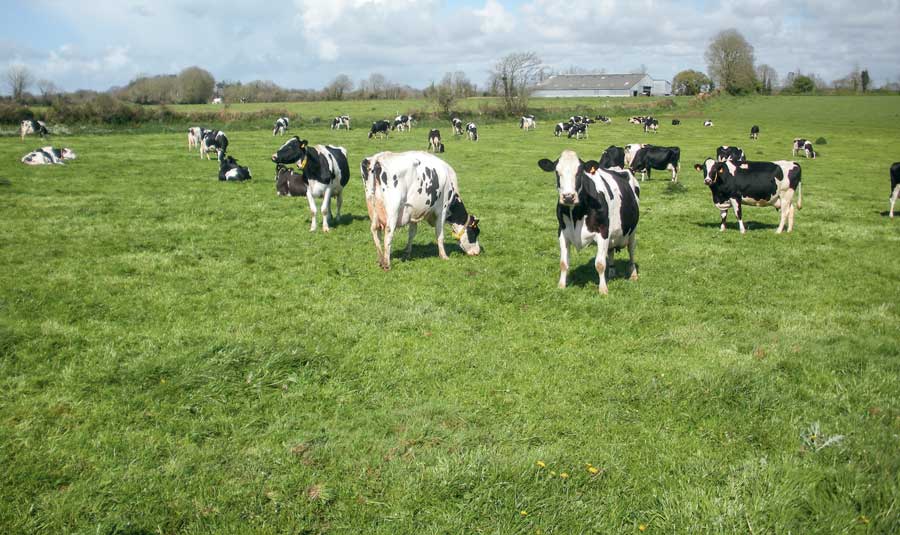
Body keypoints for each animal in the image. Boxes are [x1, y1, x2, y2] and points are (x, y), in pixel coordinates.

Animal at [536, 149, 640, 296]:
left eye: (579, 172)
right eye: (557, 172)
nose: (568, 197)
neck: (576, 214)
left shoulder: (603, 232)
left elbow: (600, 264)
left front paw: (603, 289)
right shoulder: (562, 232)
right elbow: (563, 262)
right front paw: (561, 285)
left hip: (632, 231)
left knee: (631, 251)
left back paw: (633, 274)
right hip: (613, 235)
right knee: (611, 251)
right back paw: (612, 272)